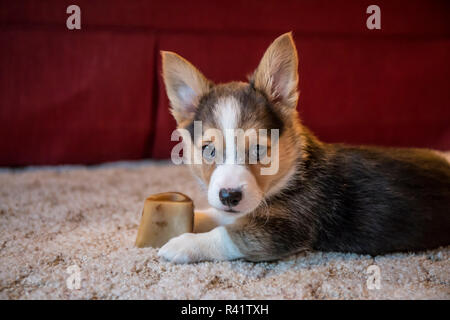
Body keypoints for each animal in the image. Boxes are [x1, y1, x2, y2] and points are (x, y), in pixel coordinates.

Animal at [158, 31, 450, 262]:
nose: (229, 196)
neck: (290, 176)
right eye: (208, 150)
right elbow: (213, 214)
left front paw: (182, 244)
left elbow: (225, 235)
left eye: (258, 150)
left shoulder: (281, 231)